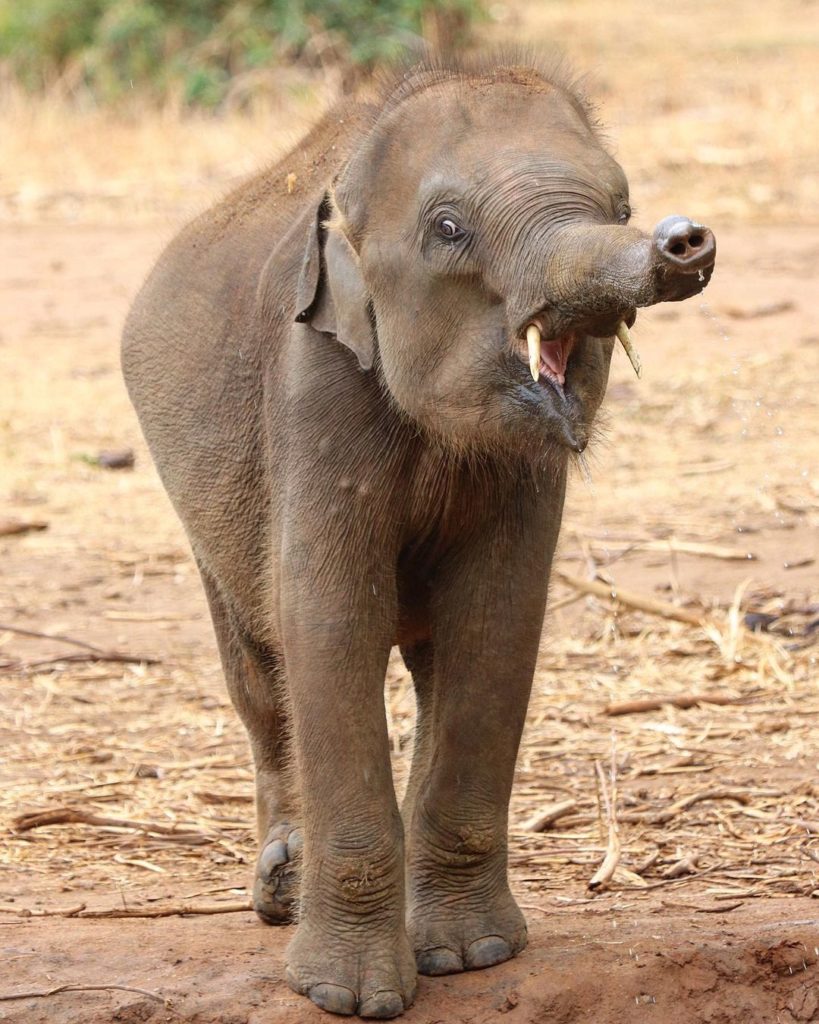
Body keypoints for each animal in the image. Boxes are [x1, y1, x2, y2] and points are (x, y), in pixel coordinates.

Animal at [122, 54, 716, 1019]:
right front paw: (349, 997)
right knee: (257, 674)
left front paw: (473, 957)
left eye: (620, 205)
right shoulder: (313, 386)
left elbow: (494, 625)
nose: (683, 237)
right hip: (194, 506)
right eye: (447, 229)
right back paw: (280, 891)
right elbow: (327, 626)